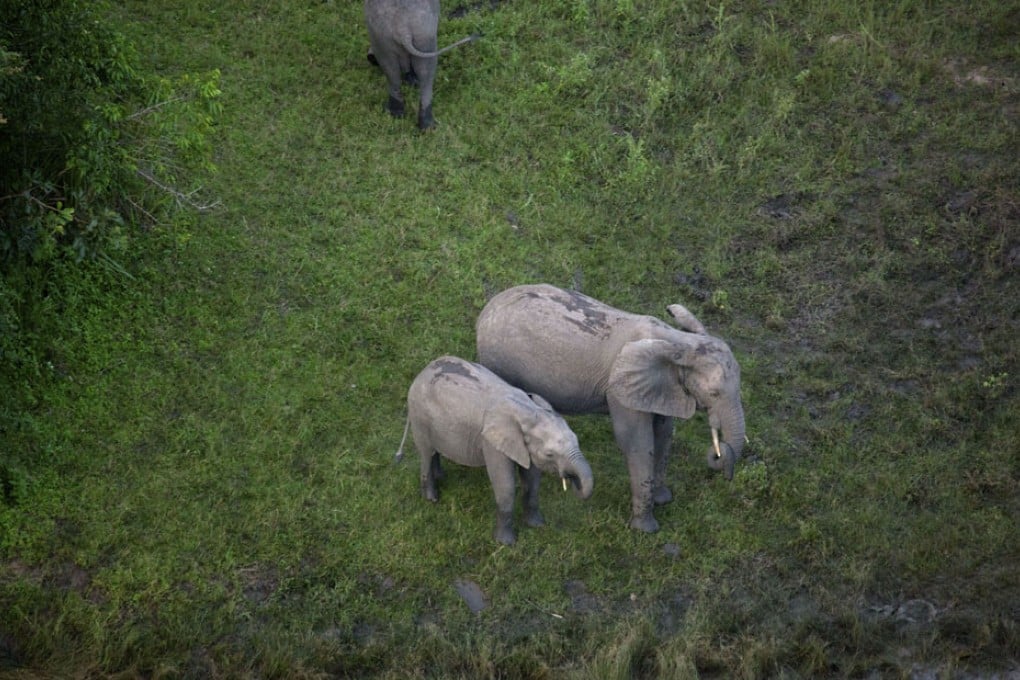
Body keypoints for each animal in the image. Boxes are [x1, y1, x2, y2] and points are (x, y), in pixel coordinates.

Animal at [364, 0, 479, 130]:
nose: (370, 57)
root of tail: (403, 29)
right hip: (422, 36)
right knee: (425, 75)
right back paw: (427, 127)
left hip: (385, 37)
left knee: (393, 73)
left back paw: (398, 115)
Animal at [396, 355, 594, 545]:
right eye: (550, 454)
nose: (572, 479)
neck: (529, 410)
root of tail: (422, 372)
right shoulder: (491, 442)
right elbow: (505, 484)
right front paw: (506, 543)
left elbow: (532, 479)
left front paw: (537, 525)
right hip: (419, 416)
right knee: (426, 454)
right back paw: (432, 498)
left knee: (433, 452)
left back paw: (440, 476)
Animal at [475, 284, 746, 533]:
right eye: (714, 393)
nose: (718, 455)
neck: (679, 341)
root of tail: (488, 307)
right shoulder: (619, 388)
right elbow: (637, 441)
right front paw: (645, 529)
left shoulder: (662, 386)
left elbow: (663, 433)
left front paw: (663, 500)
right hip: (499, 361)